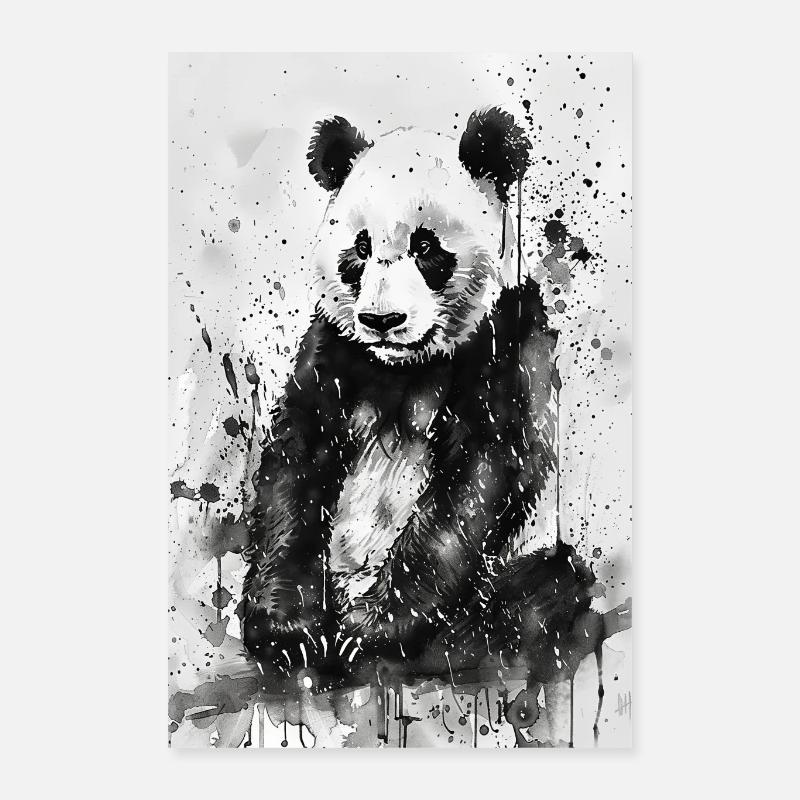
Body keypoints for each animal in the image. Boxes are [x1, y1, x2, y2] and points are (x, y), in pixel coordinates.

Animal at [237, 108, 598, 693]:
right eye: (360, 249)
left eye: (427, 249)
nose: (382, 320)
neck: (406, 365)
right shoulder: (335, 349)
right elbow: (297, 460)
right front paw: (290, 629)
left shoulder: (507, 343)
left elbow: (482, 476)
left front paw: (370, 631)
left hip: (528, 564)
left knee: (546, 588)